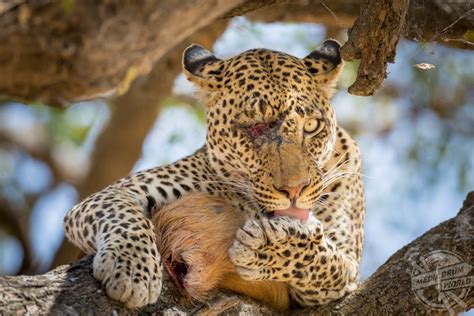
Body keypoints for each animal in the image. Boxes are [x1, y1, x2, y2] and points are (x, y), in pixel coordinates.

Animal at [63, 39, 364, 308]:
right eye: (253, 128)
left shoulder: (346, 270)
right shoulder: (114, 193)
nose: (294, 190)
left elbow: (322, 259)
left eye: (311, 126)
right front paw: (131, 268)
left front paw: (266, 244)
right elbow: (121, 211)